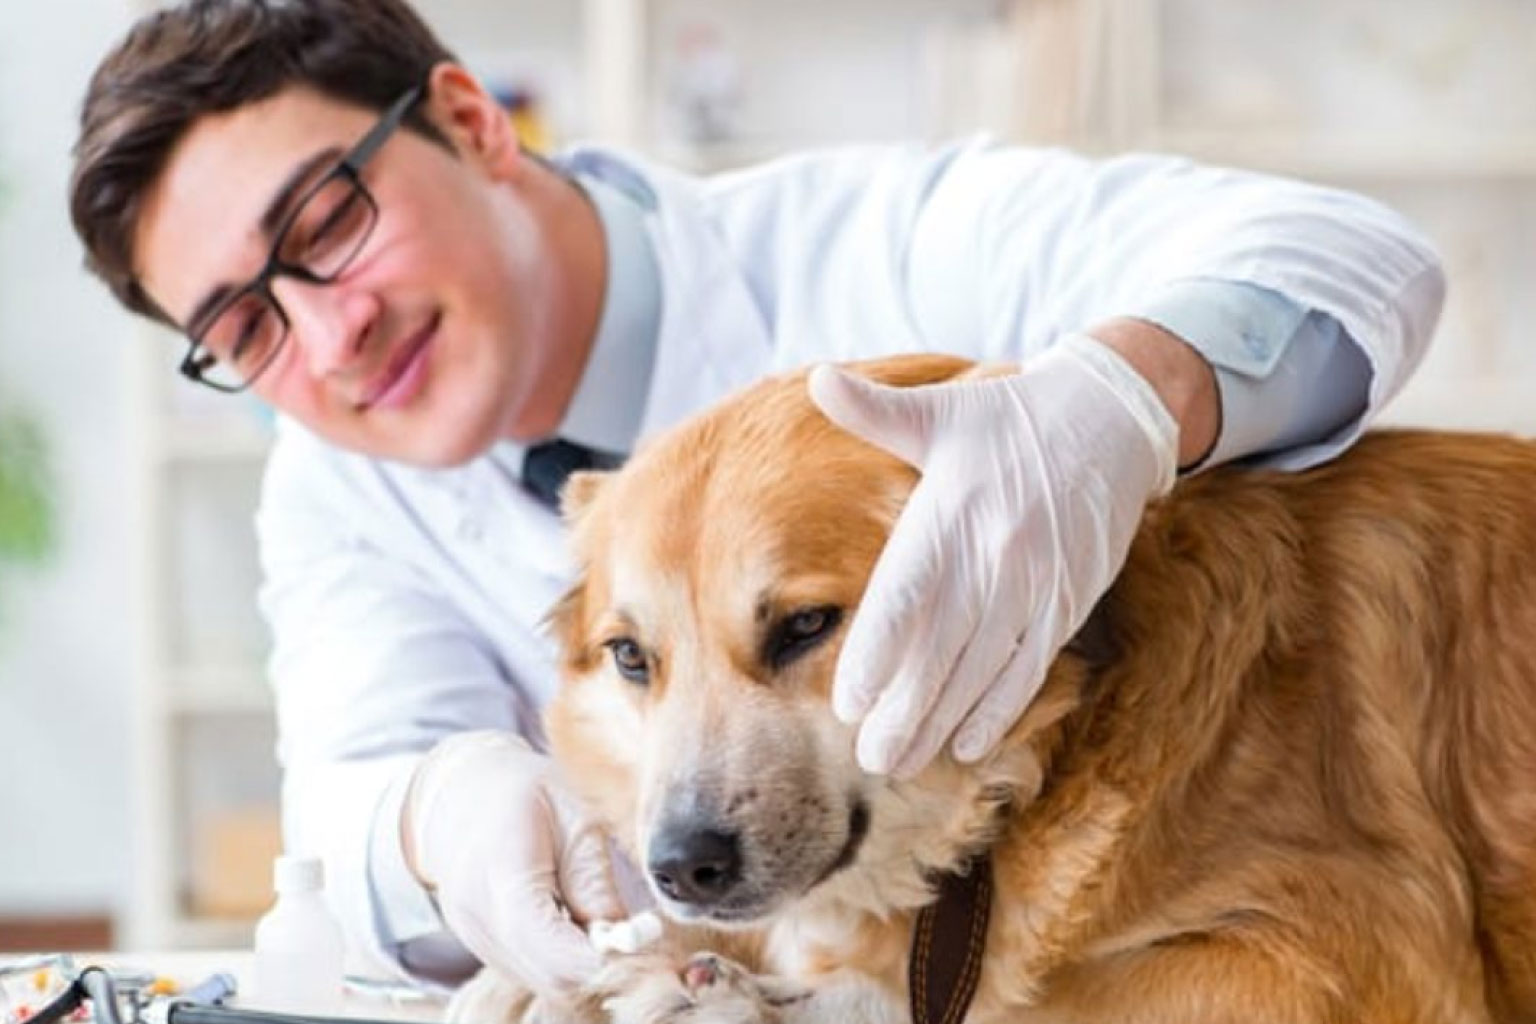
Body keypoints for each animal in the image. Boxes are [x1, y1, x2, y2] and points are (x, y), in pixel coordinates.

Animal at [451, 356, 1536, 1019]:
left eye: (806, 625)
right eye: (633, 656)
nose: (680, 867)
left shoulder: (1349, 953)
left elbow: (1016, 1003)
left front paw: (741, 995)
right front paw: (580, 972)